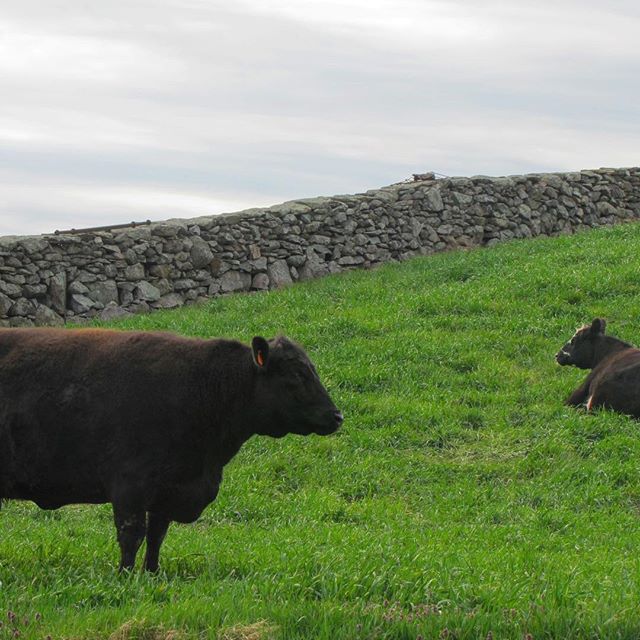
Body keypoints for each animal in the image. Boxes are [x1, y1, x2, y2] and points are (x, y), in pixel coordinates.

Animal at [0, 330, 344, 568]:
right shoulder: (130, 486)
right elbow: (132, 534)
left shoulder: (166, 492)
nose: (337, 416)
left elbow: (156, 536)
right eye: (297, 374)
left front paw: (151, 574)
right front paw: (125, 577)